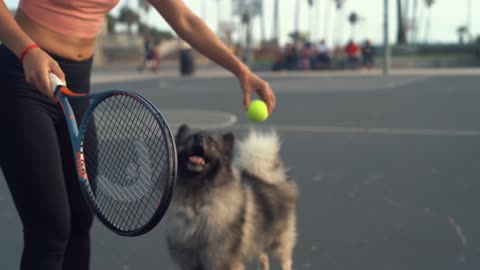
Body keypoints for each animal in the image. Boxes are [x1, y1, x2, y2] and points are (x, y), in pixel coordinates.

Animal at [167, 125, 298, 270]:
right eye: (189, 138)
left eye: (211, 141)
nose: (198, 137)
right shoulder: (190, 262)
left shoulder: (221, 260)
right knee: (264, 258)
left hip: (279, 244)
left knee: (285, 262)